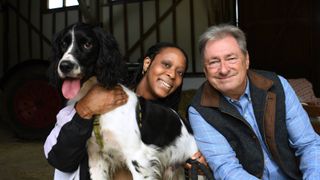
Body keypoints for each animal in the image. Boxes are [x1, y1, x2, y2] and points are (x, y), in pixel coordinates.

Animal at [47, 22, 199, 180]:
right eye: (63, 44)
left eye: (87, 44)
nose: (64, 65)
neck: (100, 113)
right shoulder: (96, 157)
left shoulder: (138, 158)